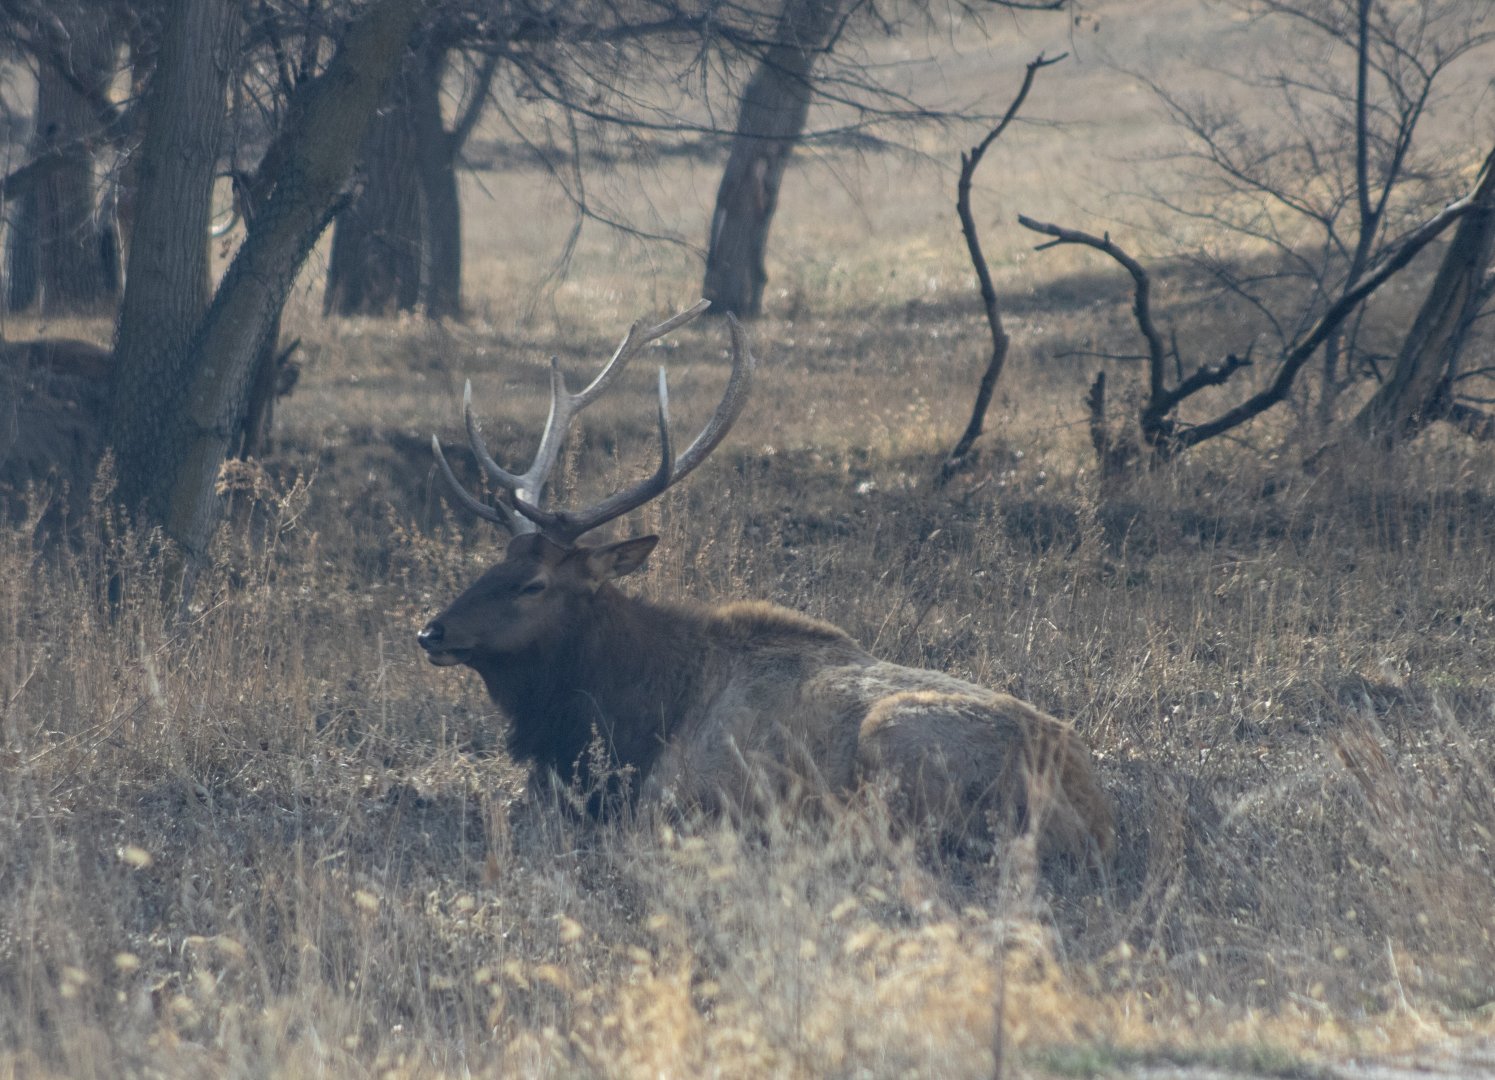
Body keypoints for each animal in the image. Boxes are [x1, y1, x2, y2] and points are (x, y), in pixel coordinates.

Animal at [418, 301, 1114, 863]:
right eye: (496, 562)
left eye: (533, 584)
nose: (431, 631)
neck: (620, 715)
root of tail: (1091, 818)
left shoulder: (678, 795)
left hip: (897, 743)